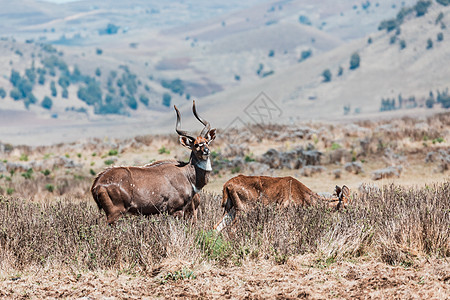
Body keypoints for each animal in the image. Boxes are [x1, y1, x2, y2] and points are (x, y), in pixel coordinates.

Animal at [214, 175, 352, 231]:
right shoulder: (284, 210)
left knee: (217, 226)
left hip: (230, 209)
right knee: (232, 229)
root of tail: (227, 185)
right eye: (345, 205)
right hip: (243, 210)